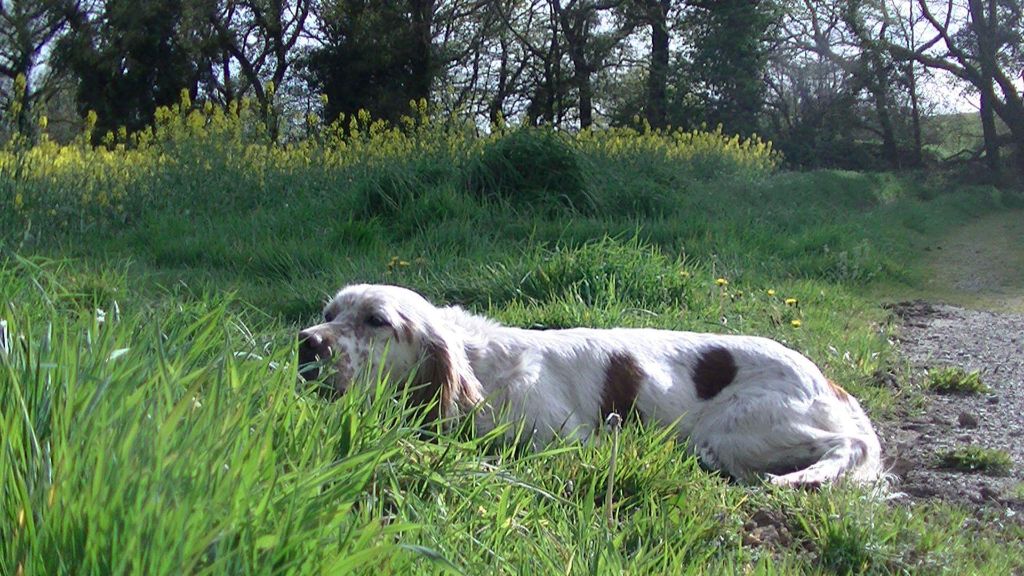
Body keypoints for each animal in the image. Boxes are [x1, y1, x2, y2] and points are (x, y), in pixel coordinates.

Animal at [299, 282, 884, 483]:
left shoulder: (566, 440)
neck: (484, 371)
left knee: (848, 445)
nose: (307, 343)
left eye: (377, 320)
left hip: (740, 428)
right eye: (329, 313)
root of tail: (827, 380)